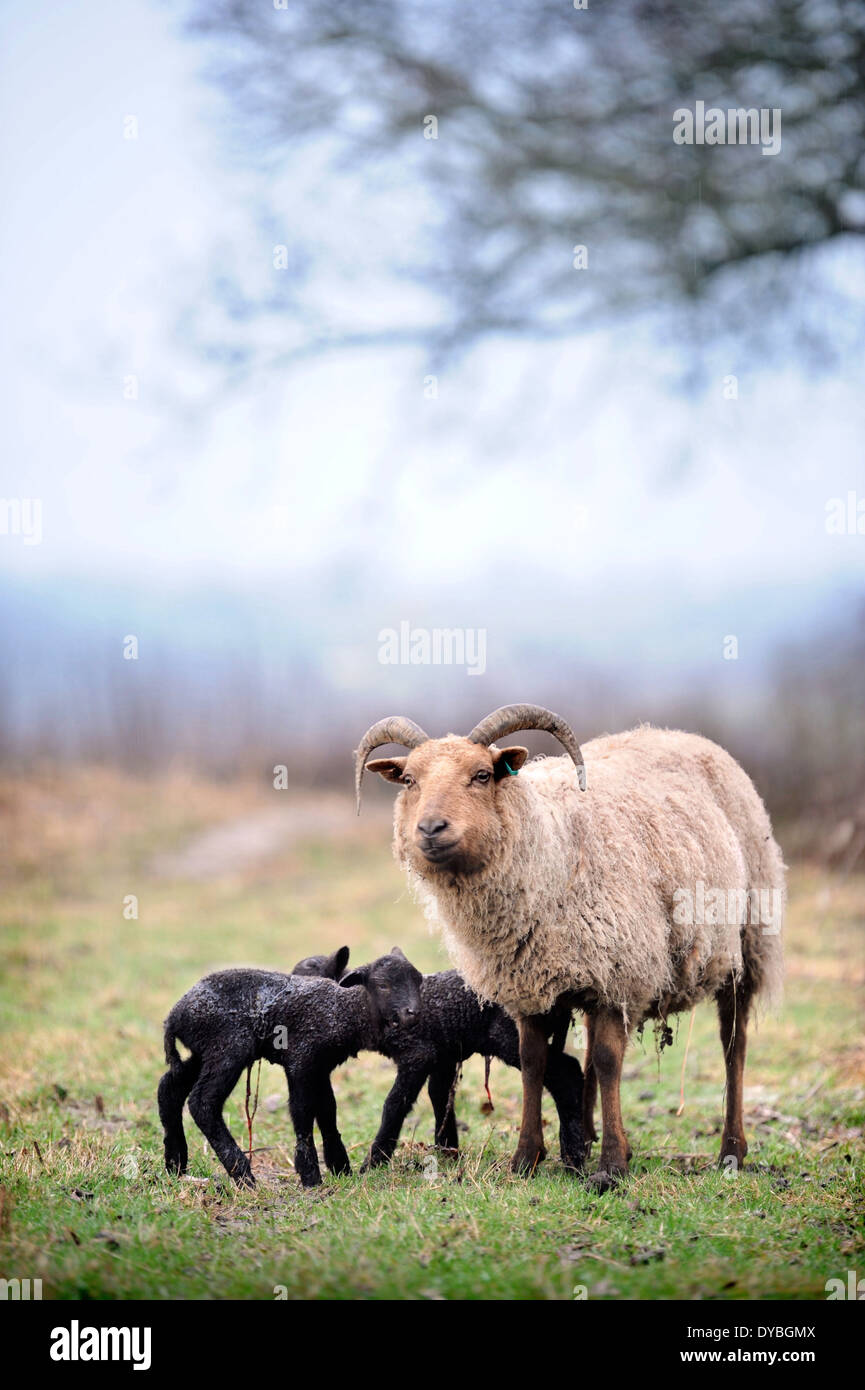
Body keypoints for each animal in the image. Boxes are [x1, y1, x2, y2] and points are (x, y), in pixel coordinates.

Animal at [161, 950, 425, 1189]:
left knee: (169, 1087)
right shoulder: (301, 1060)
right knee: (202, 1102)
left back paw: (175, 1163)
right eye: (383, 985)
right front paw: (311, 1177)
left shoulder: (320, 1067)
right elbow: (303, 1110)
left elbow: (327, 1109)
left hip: (203, 1052)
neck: (342, 1009)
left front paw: (341, 1168)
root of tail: (174, 1016)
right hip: (228, 1047)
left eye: (418, 980)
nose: (413, 1014)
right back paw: (243, 1175)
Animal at [356, 711, 789, 1189]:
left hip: (746, 943)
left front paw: (612, 1166)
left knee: (734, 1044)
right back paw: (584, 1138)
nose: (430, 829)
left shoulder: (620, 976)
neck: (551, 843)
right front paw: (527, 1157)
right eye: (409, 780)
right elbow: (534, 1062)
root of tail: (686, 736)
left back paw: (731, 1150)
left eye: (482, 775)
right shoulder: (531, 983)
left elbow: (608, 1061)